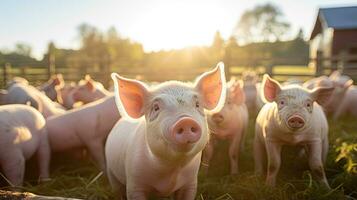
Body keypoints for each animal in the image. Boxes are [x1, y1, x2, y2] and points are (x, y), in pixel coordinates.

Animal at [104, 63, 225, 199]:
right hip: (110, 171)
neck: (173, 167)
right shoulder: (134, 184)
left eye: (197, 104)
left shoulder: (191, 183)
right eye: (156, 107)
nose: (186, 120)